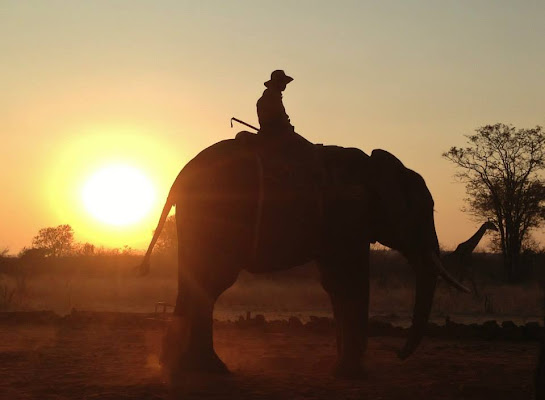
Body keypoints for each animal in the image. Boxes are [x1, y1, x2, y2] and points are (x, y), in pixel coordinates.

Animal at [140, 138, 468, 378]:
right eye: (423, 211)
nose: (398, 354)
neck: (375, 164)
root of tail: (178, 178)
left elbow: (335, 284)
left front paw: (341, 370)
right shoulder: (348, 215)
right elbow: (349, 281)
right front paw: (351, 373)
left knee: (195, 281)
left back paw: (181, 367)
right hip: (218, 215)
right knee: (212, 281)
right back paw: (205, 369)